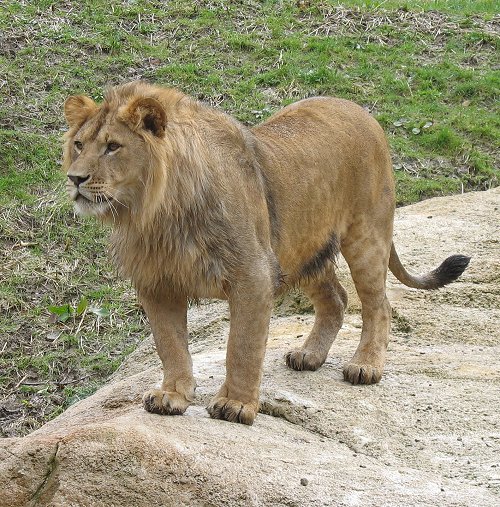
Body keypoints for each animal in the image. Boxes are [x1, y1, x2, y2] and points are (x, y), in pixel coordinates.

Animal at [62, 81, 468, 426]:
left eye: (113, 146)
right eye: (79, 145)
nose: (75, 179)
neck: (155, 212)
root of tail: (363, 112)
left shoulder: (253, 274)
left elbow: (242, 345)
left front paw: (236, 404)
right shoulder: (157, 283)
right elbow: (171, 345)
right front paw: (172, 395)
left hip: (365, 237)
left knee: (377, 305)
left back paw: (365, 366)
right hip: (301, 251)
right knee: (336, 298)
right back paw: (309, 355)